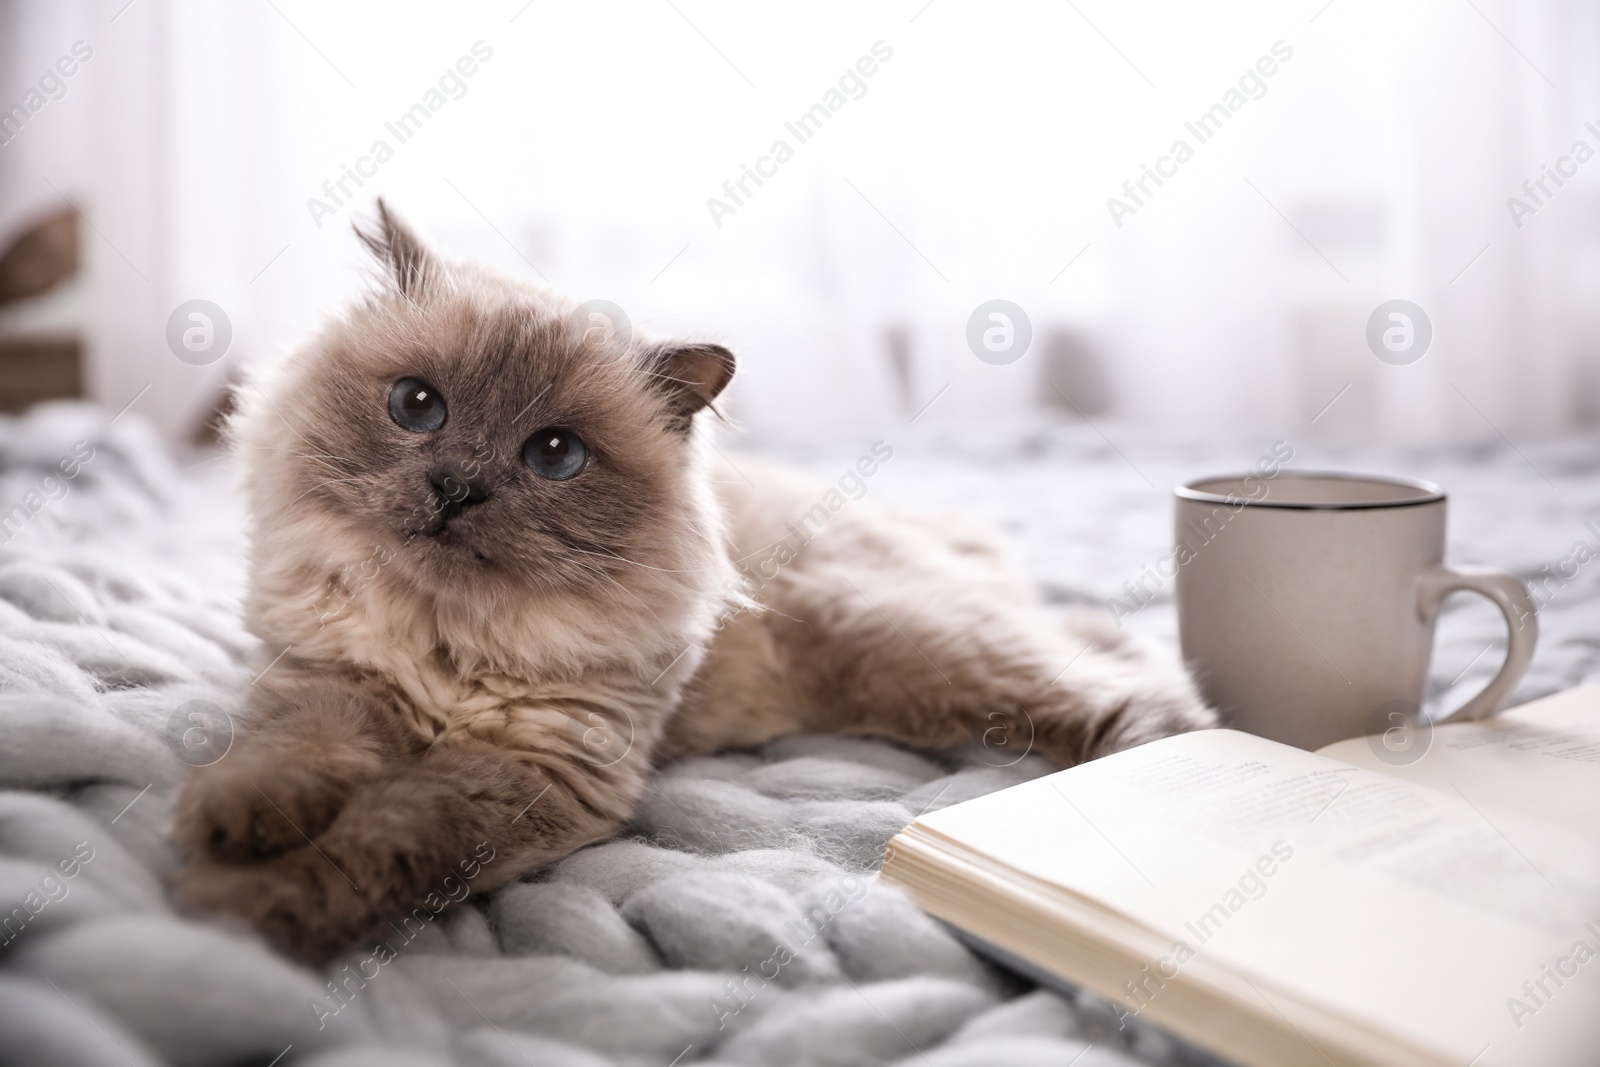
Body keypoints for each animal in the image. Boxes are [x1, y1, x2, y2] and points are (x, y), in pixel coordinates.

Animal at [168, 204, 1209, 966]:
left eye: (554, 455)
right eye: (417, 406)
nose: (456, 488)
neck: (450, 634)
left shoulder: (530, 768)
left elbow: (383, 833)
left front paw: (256, 910)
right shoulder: (335, 685)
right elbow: (289, 760)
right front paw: (229, 830)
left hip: (921, 662)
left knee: (1134, 687)